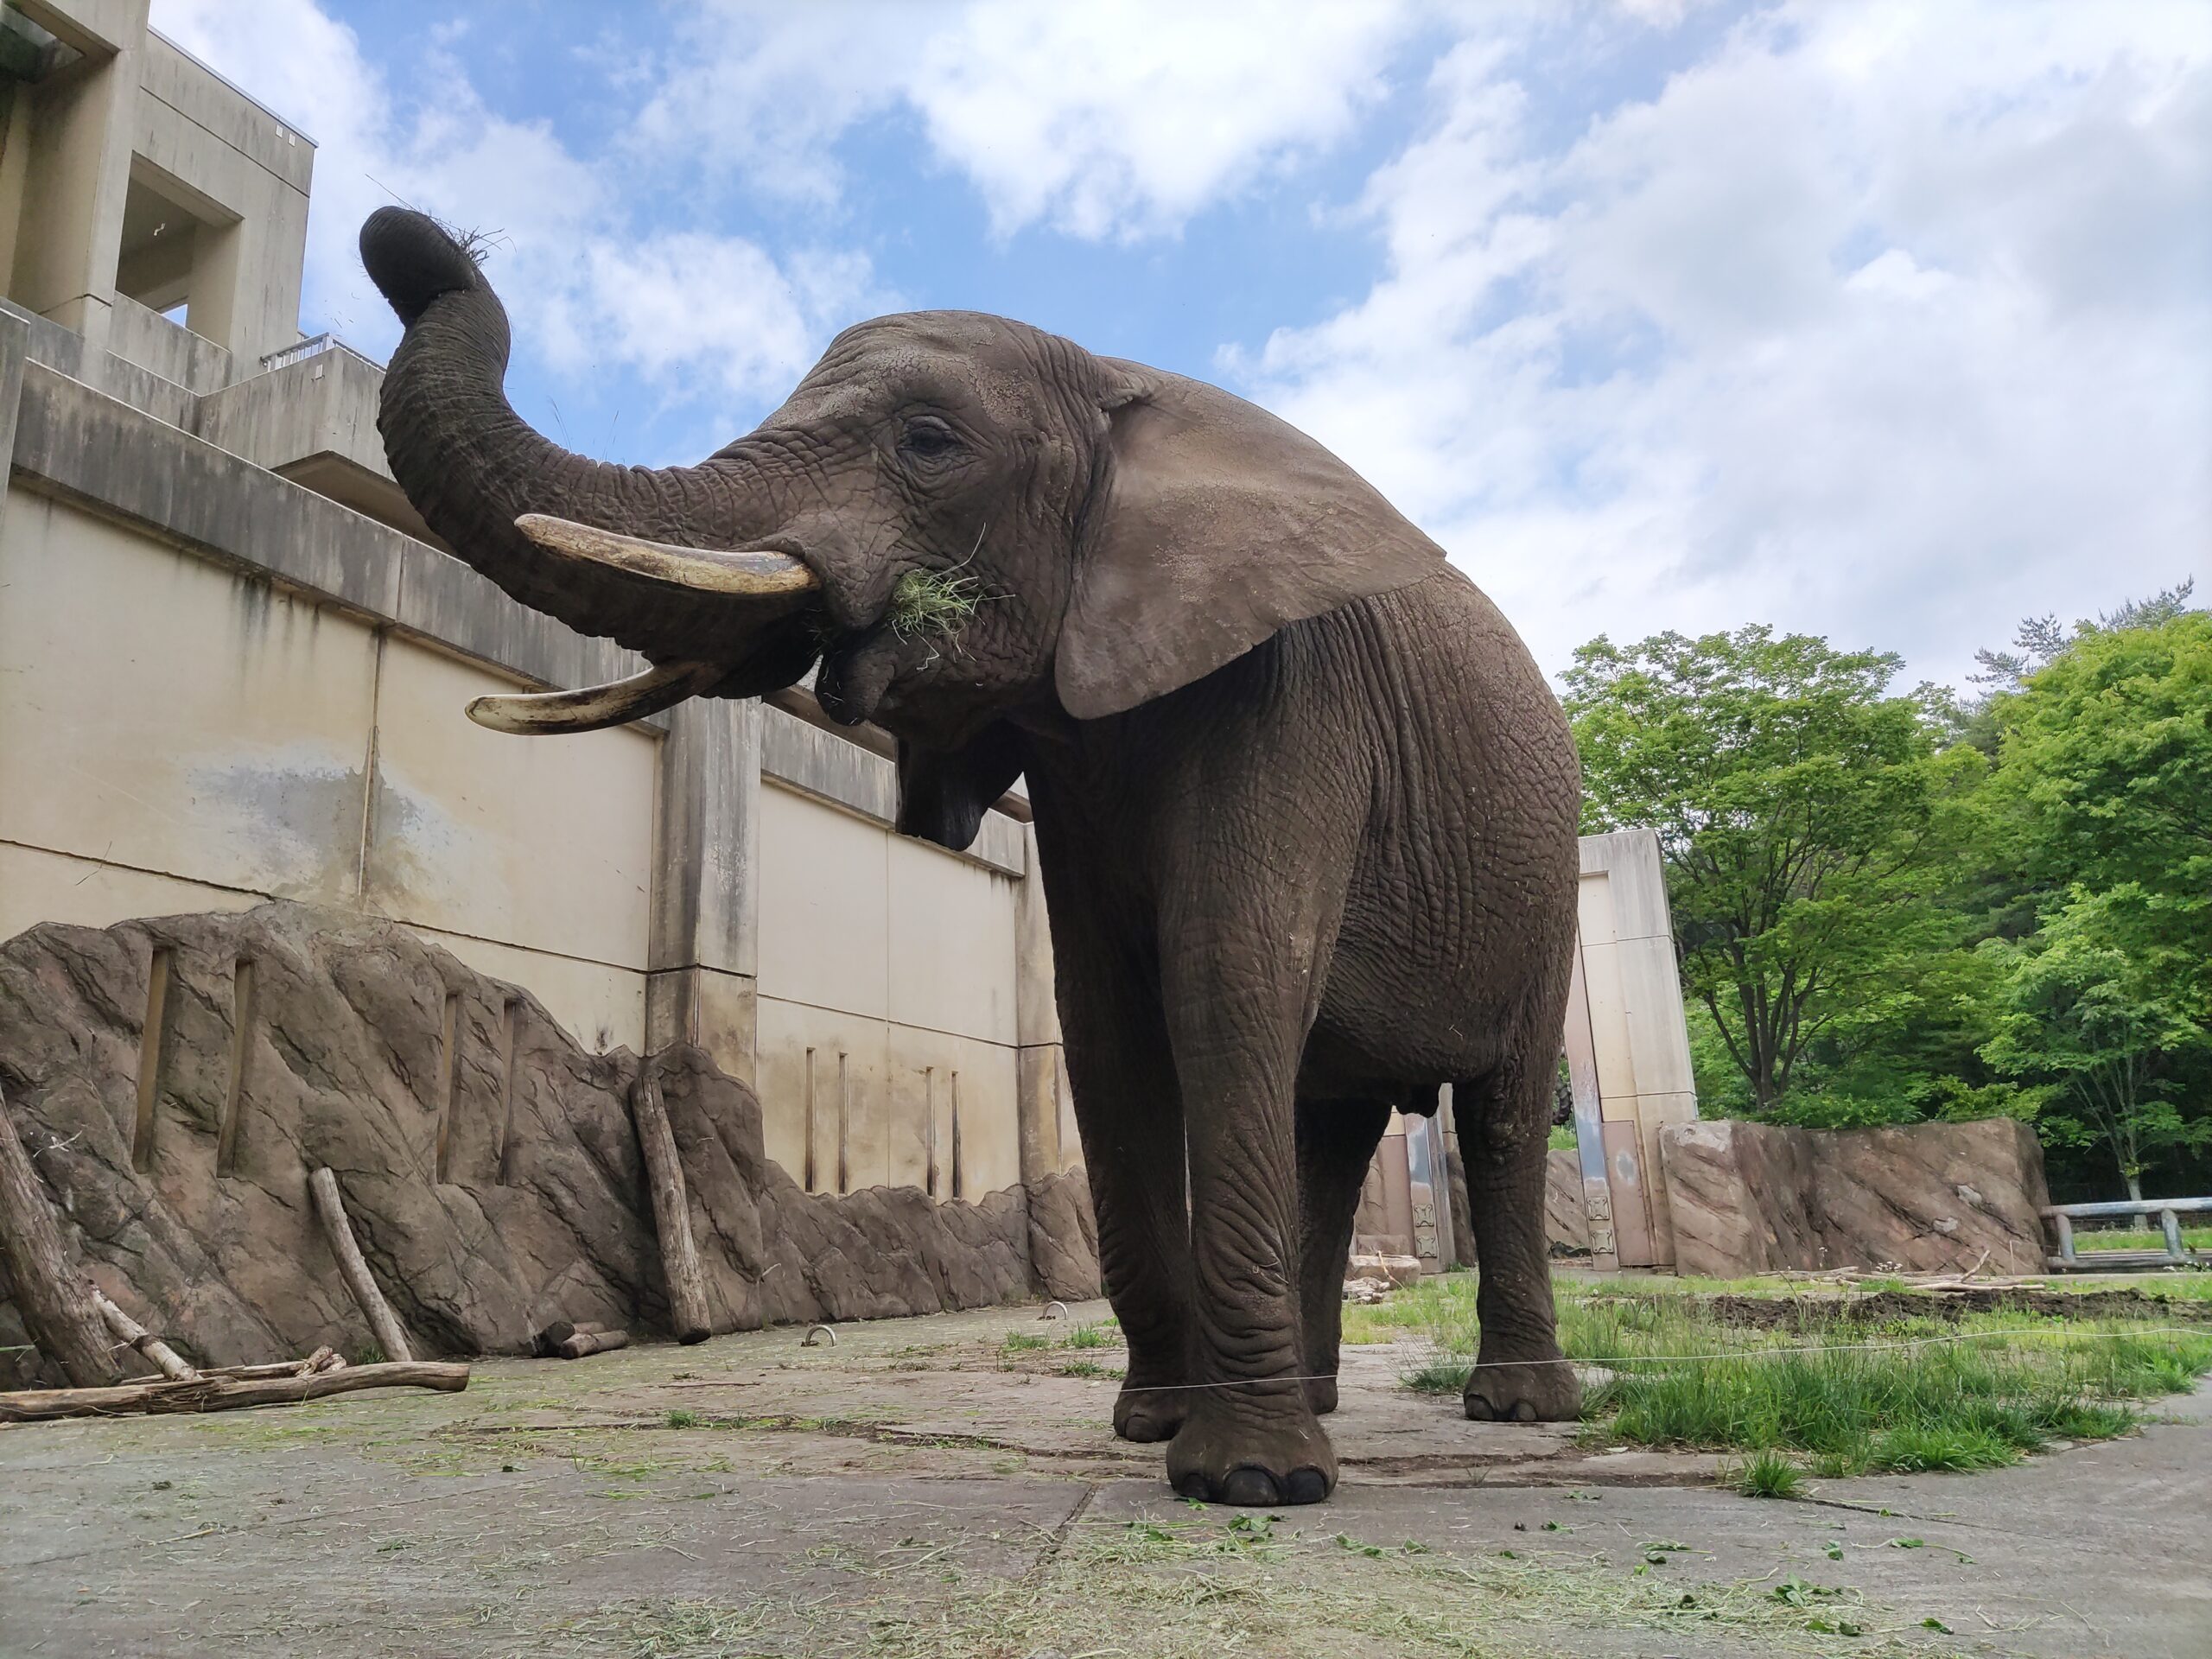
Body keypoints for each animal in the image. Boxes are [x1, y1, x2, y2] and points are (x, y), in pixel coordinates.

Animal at [358, 204, 1574, 1503]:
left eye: (929, 442)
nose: (406, 240)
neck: (1120, 384)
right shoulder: (1085, 759)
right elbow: (1106, 1030)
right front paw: (1152, 1427)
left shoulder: (1287, 695)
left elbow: (1224, 987)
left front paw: (1249, 1483)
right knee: (1333, 1129)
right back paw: (1327, 1396)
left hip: (1548, 880)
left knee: (1499, 1114)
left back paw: (1515, 1407)